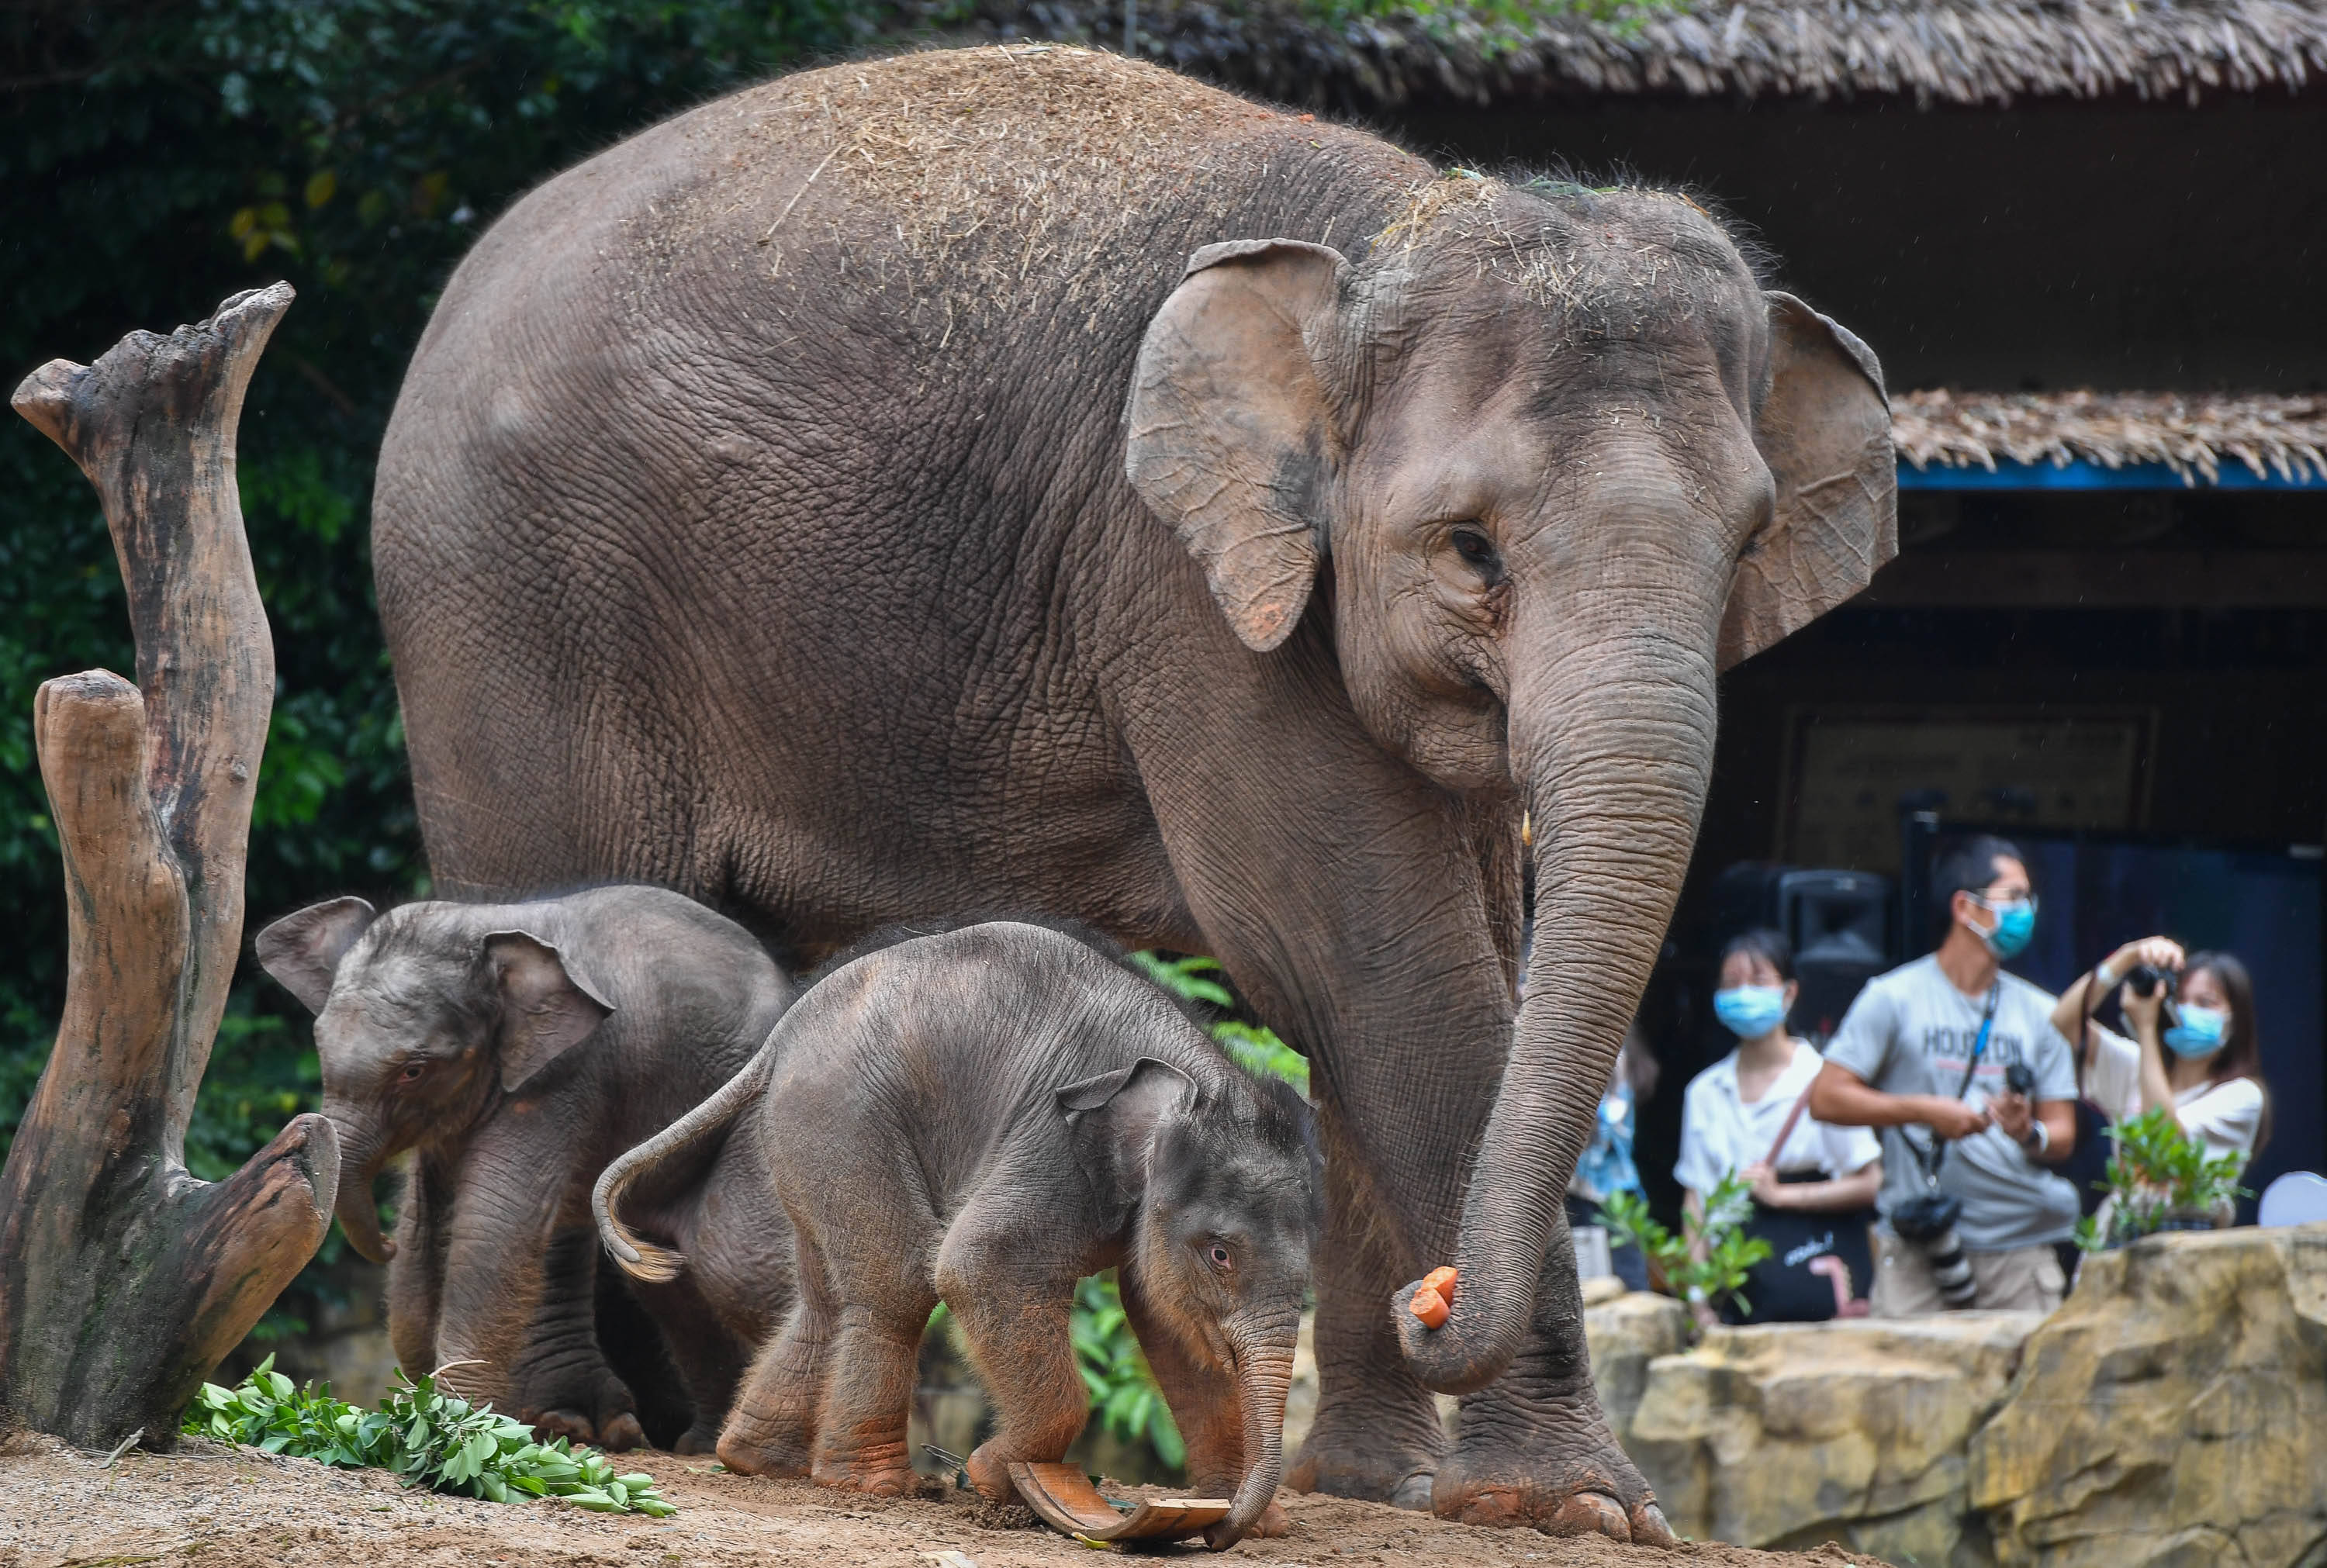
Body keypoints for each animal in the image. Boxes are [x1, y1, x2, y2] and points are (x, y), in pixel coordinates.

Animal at [261, 879, 796, 1442]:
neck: (484, 927)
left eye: (414, 1070)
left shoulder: (565, 1073)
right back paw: (679, 1437)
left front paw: (457, 1427)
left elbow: (491, 1227)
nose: (383, 1245)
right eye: (318, 1046)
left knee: (719, 1251)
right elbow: (428, 1224)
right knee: (667, 1272)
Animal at [600, 917, 1322, 1535]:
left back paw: (759, 1462)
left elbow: (1172, 1330)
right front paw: (995, 1476)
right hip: (845, 1118)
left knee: (827, 1299)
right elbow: (980, 1267)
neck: (1201, 1078)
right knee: (899, 1285)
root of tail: (782, 1035)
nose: (1225, 1528)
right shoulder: (1049, 1144)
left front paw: (1264, 1525)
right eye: (1221, 1254)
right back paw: (874, 1487)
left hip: (802, 1137)